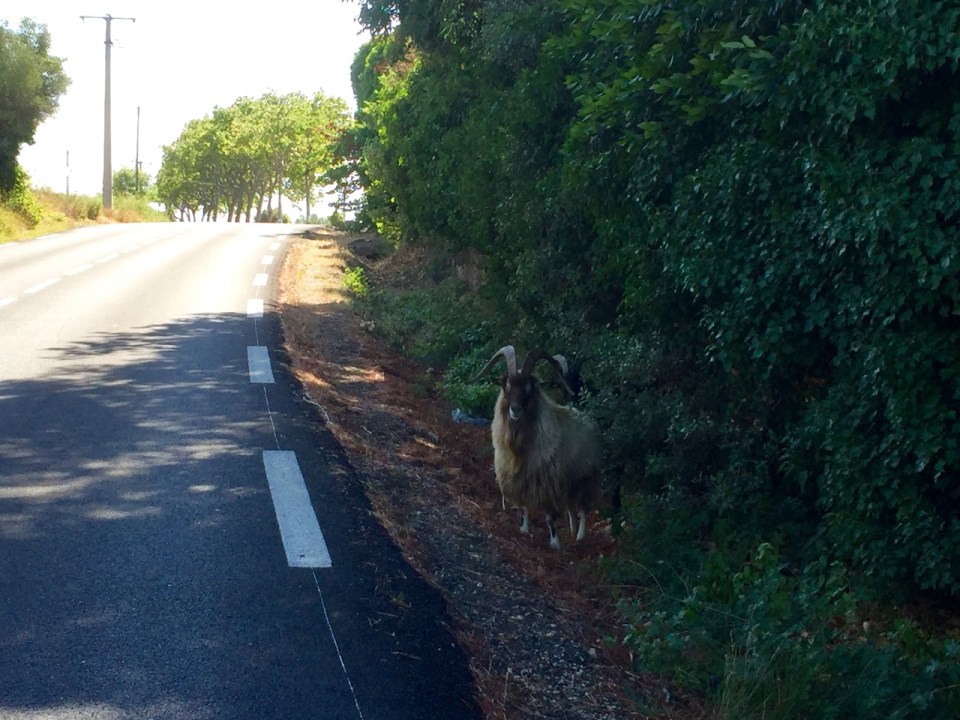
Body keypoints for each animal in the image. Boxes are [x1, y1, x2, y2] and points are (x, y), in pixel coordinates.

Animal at [476, 345, 602, 549]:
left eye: (529, 387)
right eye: (506, 385)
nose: (515, 410)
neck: (520, 448)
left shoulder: (549, 481)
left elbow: (550, 517)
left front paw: (555, 543)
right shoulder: (518, 479)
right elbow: (522, 508)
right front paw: (523, 529)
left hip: (587, 479)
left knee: (583, 510)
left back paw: (580, 537)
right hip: (570, 482)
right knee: (571, 509)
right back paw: (573, 531)